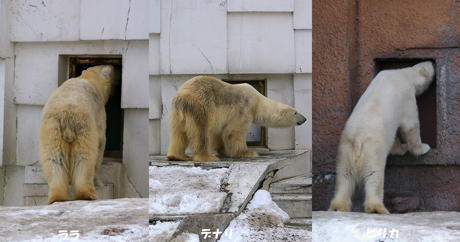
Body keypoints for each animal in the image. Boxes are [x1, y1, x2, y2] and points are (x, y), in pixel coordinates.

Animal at [38, 65, 117, 204]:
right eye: (112, 71)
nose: (114, 68)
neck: (89, 80)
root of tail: (66, 114)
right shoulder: (99, 115)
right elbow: (101, 143)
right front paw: (99, 182)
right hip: (83, 126)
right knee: (84, 158)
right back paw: (87, 195)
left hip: (51, 129)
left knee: (54, 159)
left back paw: (58, 197)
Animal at [165, 76, 306, 162]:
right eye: (295, 112)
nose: (304, 118)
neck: (257, 100)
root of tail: (181, 96)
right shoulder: (244, 107)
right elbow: (234, 131)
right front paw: (248, 153)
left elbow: (219, 133)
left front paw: (223, 150)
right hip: (201, 105)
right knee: (200, 131)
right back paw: (208, 157)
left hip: (176, 113)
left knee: (178, 133)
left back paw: (177, 156)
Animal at [328, 61, 434, 215]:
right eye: (430, 66)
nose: (432, 62)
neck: (403, 74)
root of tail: (358, 141)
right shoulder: (406, 96)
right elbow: (410, 125)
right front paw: (419, 148)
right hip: (372, 151)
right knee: (374, 176)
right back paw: (377, 208)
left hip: (345, 150)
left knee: (344, 177)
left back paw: (338, 206)